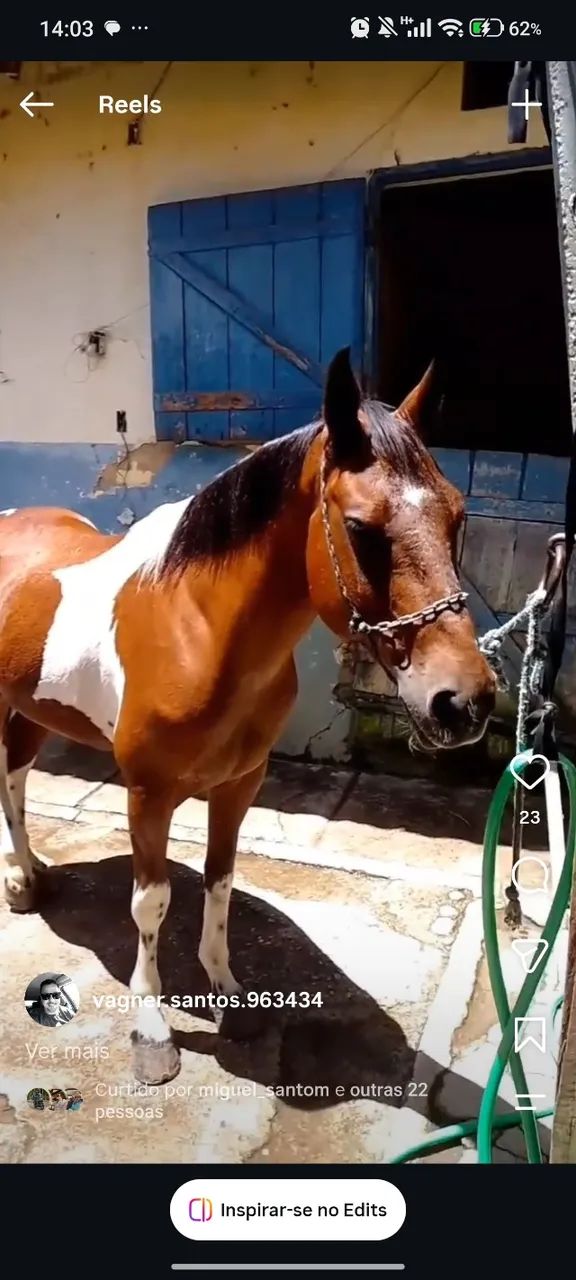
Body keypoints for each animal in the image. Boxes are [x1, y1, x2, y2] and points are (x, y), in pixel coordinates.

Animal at [0, 348, 495, 1084]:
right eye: (360, 529)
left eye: (457, 517)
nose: (464, 701)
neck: (197, 628)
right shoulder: (147, 793)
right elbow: (151, 902)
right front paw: (153, 1033)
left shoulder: (240, 784)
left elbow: (221, 881)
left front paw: (229, 993)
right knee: (9, 783)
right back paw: (22, 880)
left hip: (31, 707)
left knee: (18, 777)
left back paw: (32, 873)